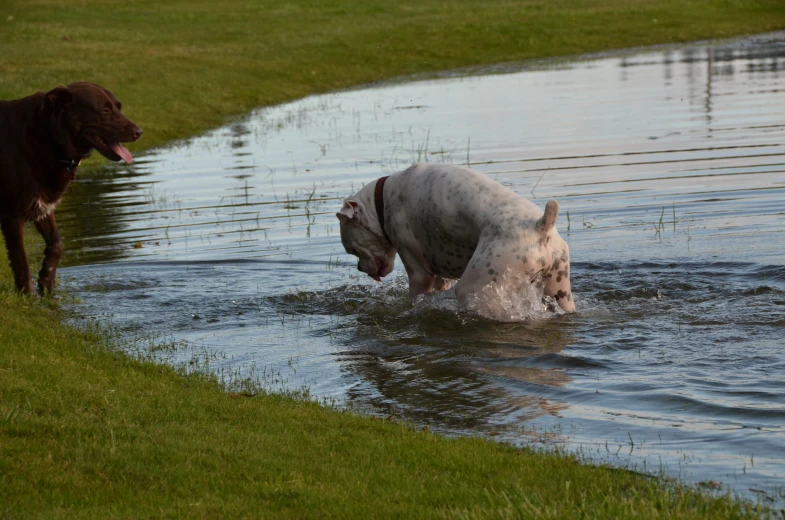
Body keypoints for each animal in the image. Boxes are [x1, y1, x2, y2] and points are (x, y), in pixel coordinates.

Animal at [0, 81, 141, 292]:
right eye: (105, 110)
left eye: (119, 107)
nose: (139, 132)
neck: (48, 137)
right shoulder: (12, 216)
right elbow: (22, 264)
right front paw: (30, 296)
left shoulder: (43, 206)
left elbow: (57, 244)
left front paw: (47, 284)